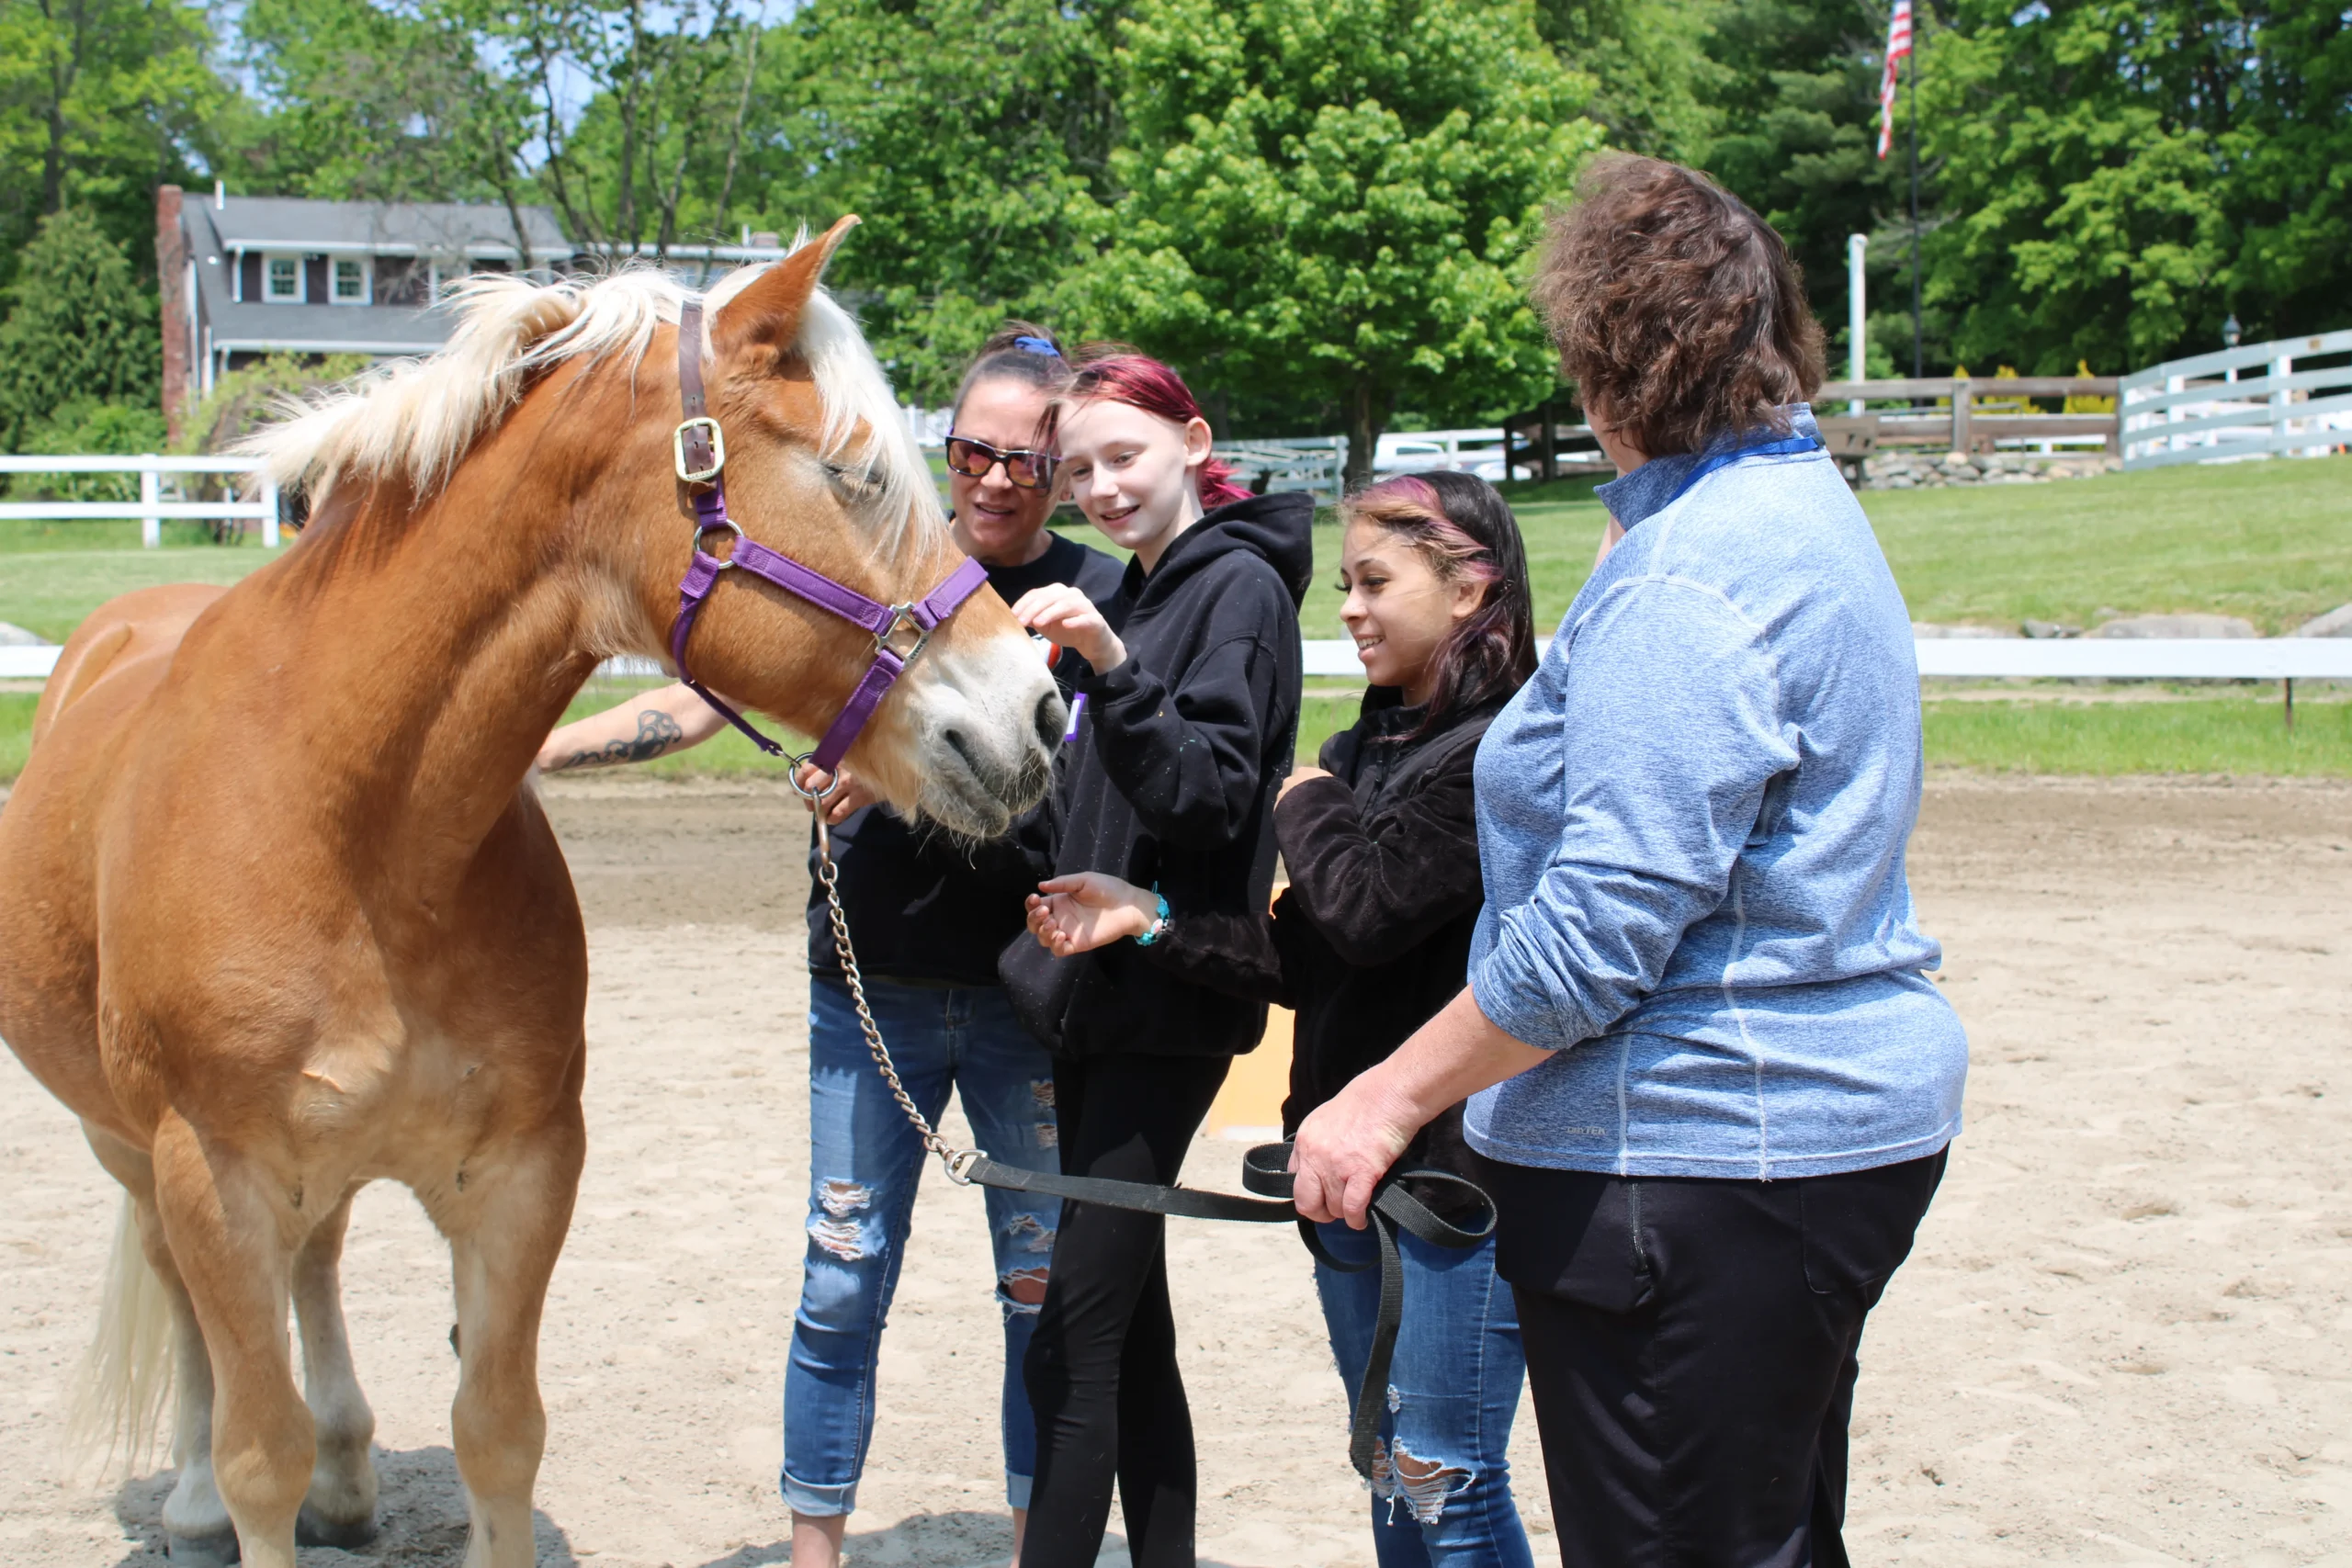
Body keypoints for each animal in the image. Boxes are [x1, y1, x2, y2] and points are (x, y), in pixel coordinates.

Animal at [0, 215, 1058, 1561]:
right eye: (852, 472)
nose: (1039, 711)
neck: (357, 833)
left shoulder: (521, 1172)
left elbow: (497, 1433)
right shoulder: (214, 1174)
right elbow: (256, 1453)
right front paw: (236, 1480)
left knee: (320, 1260)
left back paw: (348, 1473)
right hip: (128, 1146)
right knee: (182, 1299)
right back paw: (188, 1494)